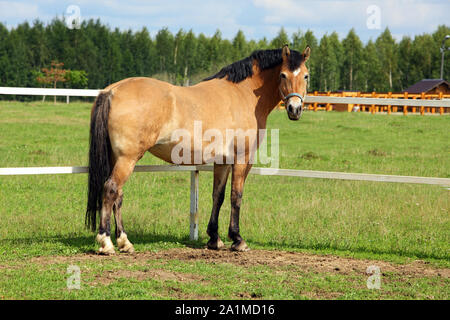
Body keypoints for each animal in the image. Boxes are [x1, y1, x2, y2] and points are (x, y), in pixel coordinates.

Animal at [84, 45, 310, 255]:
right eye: (283, 74)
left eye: (306, 75)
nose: (295, 109)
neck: (243, 94)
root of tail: (112, 91)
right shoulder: (242, 159)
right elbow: (236, 196)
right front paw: (237, 239)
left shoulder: (222, 161)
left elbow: (218, 196)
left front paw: (214, 238)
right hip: (127, 159)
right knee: (111, 189)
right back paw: (106, 242)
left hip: (117, 158)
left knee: (118, 196)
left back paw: (125, 242)